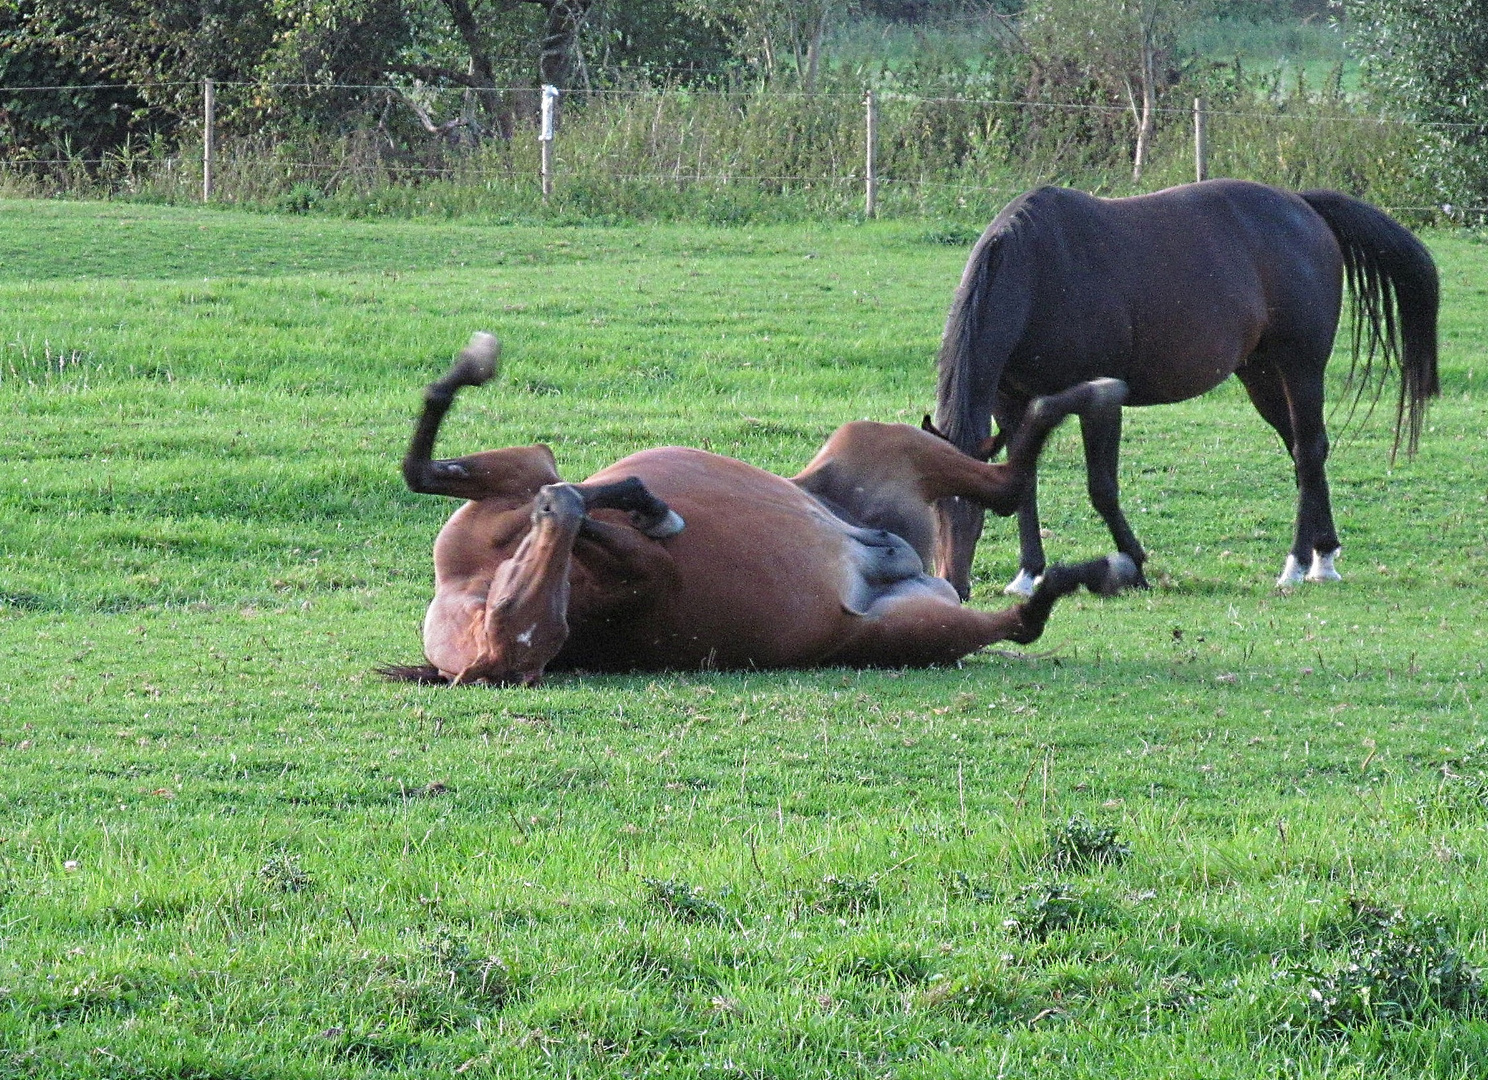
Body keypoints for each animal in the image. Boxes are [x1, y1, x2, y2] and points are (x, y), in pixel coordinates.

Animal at [386, 334, 1136, 684]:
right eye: (535, 639)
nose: (508, 631)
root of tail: (905, 565)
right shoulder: (636, 571)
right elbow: (573, 504)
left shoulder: (528, 482)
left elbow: (446, 472)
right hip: (921, 615)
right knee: (1017, 565)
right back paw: (1104, 558)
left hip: (880, 449)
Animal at [928, 178, 1440, 600]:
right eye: (930, 506)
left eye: (974, 511)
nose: (954, 587)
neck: (1037, 273)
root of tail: (1303, 206)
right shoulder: (1011, 402)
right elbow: (1025, 481)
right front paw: (1028, 573)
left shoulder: (1101, 400)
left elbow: (1102, 488)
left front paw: (1135, 564)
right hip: (1260, 375)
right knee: (1304, 451)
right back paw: (1323, 555)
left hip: (1301, 366)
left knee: (1309, 449)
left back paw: (1296, 565)